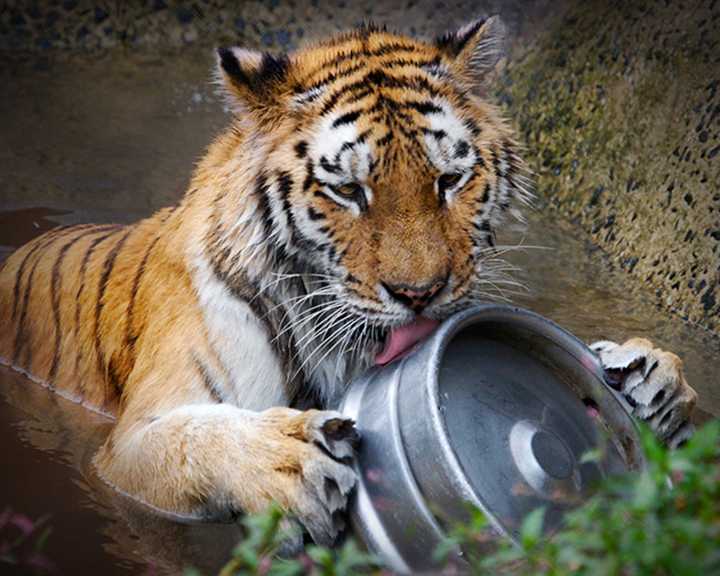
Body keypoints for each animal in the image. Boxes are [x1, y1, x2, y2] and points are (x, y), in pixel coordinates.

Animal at [0, 15, 696, 548]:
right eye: (349, 191)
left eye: (449, 181)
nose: (420, 293)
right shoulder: (128, 447)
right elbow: (195, 439)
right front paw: (289, 460)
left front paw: (653, 380)